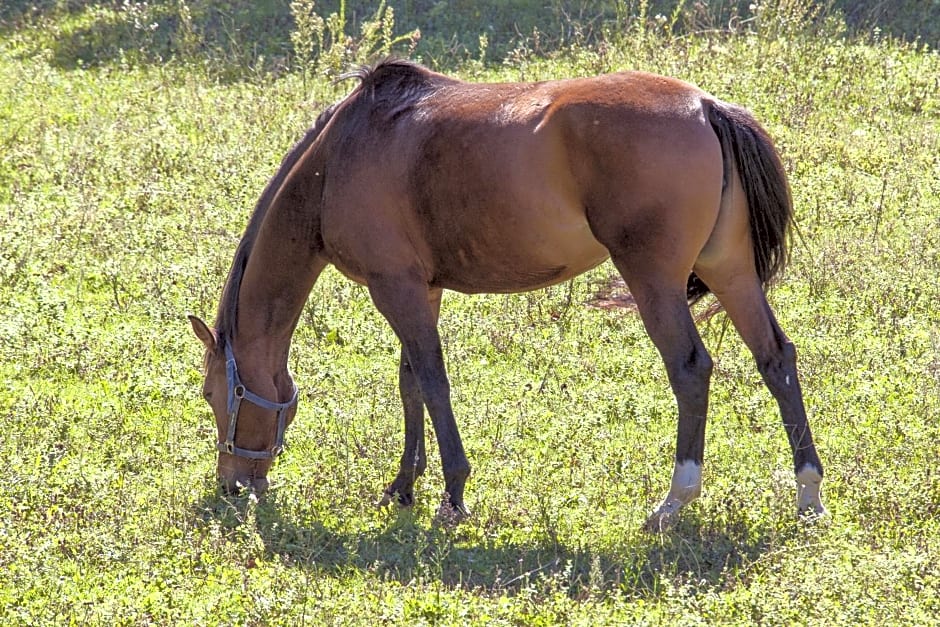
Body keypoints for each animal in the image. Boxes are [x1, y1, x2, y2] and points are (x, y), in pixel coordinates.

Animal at [189, 59, 824, 532]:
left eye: (212, 393)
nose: (233, 484)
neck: (340, 155)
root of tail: (706, 106)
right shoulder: (421, 289)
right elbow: (410, 384)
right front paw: (403, 486)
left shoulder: (395, 289)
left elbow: (433, 382)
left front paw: (452, 493)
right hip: (730, 271)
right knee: (776, 359)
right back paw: (808, 493)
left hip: (656, 283)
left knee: (691, 368)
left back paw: (674, 501)